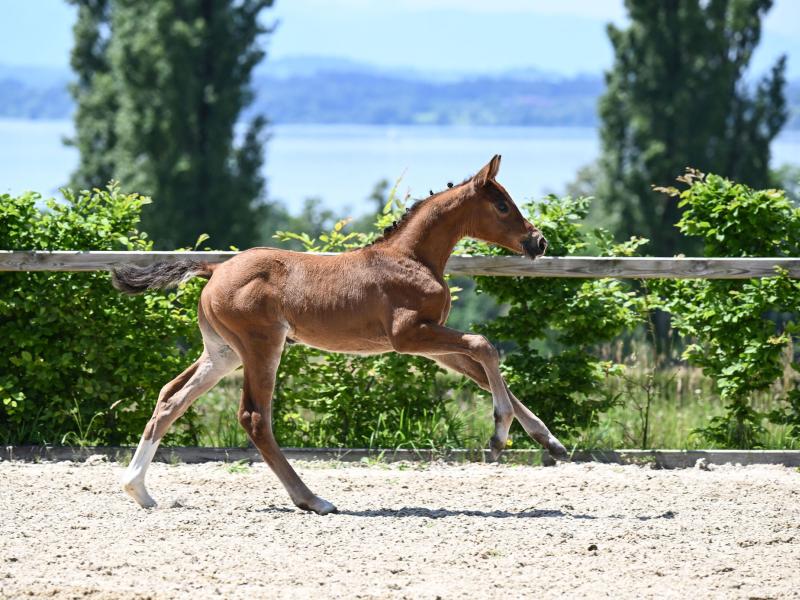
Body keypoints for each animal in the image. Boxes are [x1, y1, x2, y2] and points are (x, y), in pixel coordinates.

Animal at [115, 156, 568, 516]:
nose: (538, 242)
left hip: (223, 352)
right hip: (262, 346)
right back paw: (313, 500)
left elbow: (481, 370)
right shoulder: (409, 336)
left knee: (170, 398)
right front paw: (498, 436)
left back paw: (139, 490)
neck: (411, 258)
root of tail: (215, 270)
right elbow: (484, 346)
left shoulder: (431, 344)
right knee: (254, 417)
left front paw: (551, 442)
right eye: (503, 205)